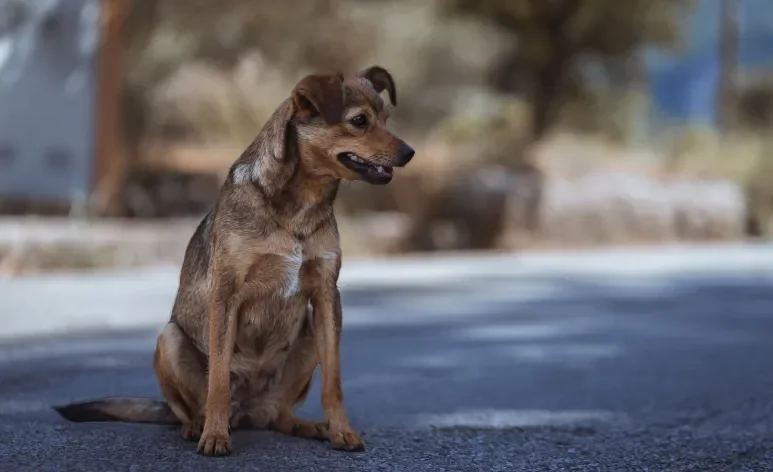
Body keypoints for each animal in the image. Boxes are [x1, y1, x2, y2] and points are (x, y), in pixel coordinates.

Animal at [52, 64, 416, 456]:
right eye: (359, 121)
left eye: (386, 118)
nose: (410, 152)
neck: (298, 208)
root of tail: (249, 412)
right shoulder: (227, 295)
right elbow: (219, 382)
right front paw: (214, 436)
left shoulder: (326, 297)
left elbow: (333, 382)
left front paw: (342, 431)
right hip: (169, 340)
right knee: (186, 408)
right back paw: (197, 426)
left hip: (306, 336)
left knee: (279, 415)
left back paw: (304, 425)